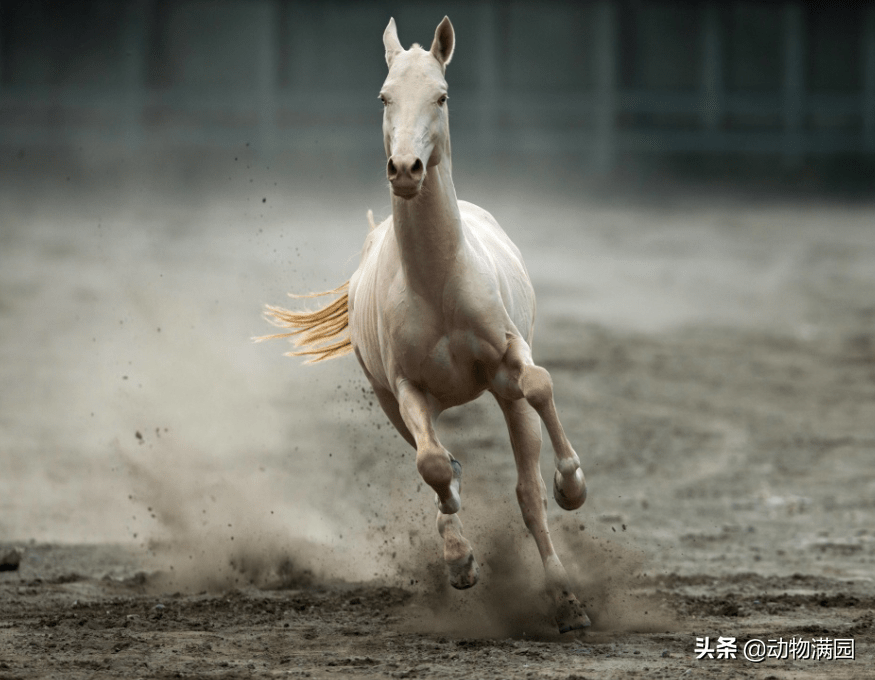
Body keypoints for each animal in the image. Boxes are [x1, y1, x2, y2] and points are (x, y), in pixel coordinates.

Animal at [260, 14, 588, 632]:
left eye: (442, 95)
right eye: (384, 96)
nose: (406, 170)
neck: (437, 283)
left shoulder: (509, 361)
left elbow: (539, 387)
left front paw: (573, 485)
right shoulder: (407, 387)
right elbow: (434, 464)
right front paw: (461, 559)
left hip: (502, 398)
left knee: (527, 492)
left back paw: (566, 599)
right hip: (395, 403)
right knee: (436, 460)